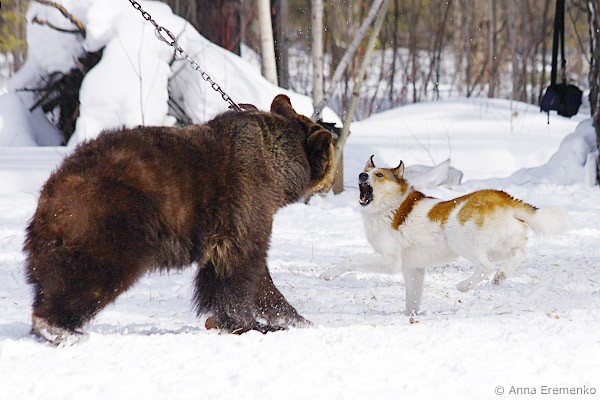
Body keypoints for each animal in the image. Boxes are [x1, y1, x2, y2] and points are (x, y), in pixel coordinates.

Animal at [23, 94, 334, 344]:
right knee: (94, 272)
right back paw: (60, 328)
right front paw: (254, 323)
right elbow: (242, 267)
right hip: (113, 217)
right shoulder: (246, 201)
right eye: (331, 156)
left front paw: (290, 319)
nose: (333, 179)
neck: (277, 172)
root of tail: (53, 186)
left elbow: (243, 273)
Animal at [321, 156, 572, 315]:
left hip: (461, 240)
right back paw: (501, 276)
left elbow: (350, 259)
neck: (390, 206)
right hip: (500, 244)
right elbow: (413, 298)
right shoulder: (413, 269)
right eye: (367, 172)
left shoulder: (389, 261)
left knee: (485, 266)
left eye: (379, 175)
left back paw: (464, 286)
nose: (362, 175)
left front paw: (328, 273)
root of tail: (504, 198)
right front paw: (410, 316)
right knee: (520, 253)